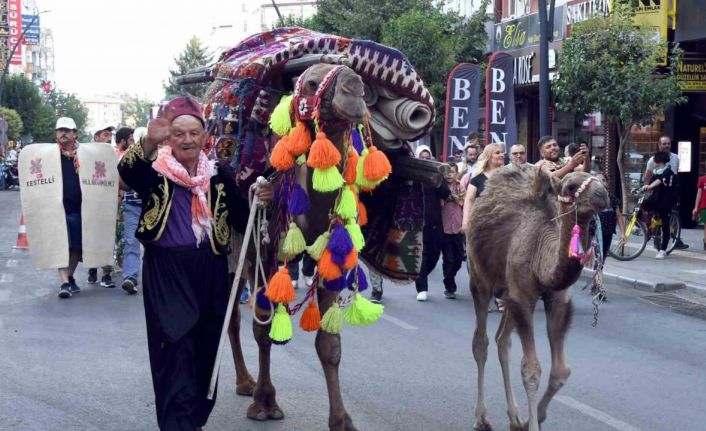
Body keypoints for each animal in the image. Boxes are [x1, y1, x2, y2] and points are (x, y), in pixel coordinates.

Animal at [187, 28, 440, 431]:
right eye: (309, 82)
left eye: (361, 82)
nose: (353, 89)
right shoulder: (267, 252)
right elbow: (263, 329)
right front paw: (265, 402)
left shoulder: (330, 257)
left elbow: (329, 344)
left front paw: (342, 419)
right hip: (232, 249)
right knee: (233, 316)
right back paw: (244, 383)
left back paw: (244, 381)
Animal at [464, 169, 608, 431]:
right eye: (571, 187)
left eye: (602, 180)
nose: (602, 195)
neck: (541, 254)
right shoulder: (523, 297)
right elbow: (530, 370)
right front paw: (531, 424)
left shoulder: (555, 298)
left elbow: (561, 370)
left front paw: (532, 419)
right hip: (480, 281)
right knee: (481, 342)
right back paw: (481, 417)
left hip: (508, 293)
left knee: (502, 340)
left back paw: (514, 416)